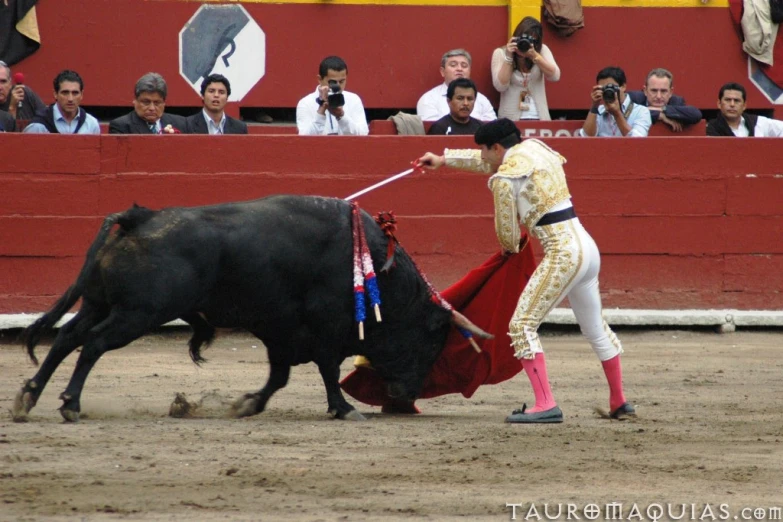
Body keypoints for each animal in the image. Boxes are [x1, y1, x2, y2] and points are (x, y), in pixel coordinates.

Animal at [12, 193, 490, 420]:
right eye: (431, 343)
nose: (405, 395)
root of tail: (139, 218)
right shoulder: (323, 330)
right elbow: (327, 370)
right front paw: (344, 408)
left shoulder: (280, 331)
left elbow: (278, 377)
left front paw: (246, 404)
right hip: (135, 314)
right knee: (91, 344)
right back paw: (70, 403)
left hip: (97, 302)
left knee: (67, 338)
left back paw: (29, 397)